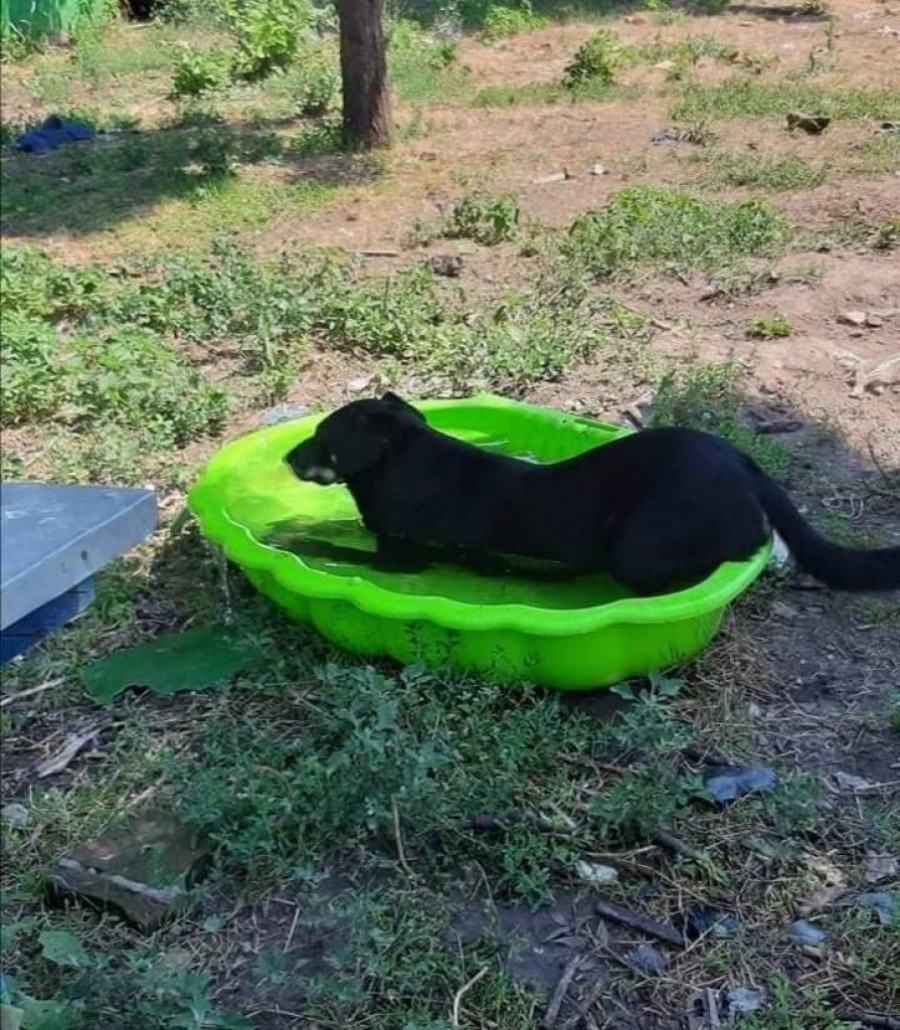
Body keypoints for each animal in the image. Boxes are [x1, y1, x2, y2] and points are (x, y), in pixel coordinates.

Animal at [285, 393, 900, 596]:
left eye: (322, 436)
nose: (287, 458)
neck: (407, 464)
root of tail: (740, 461)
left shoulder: (404, 554)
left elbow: (337, 550)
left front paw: (299, 544)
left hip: (640, 545)